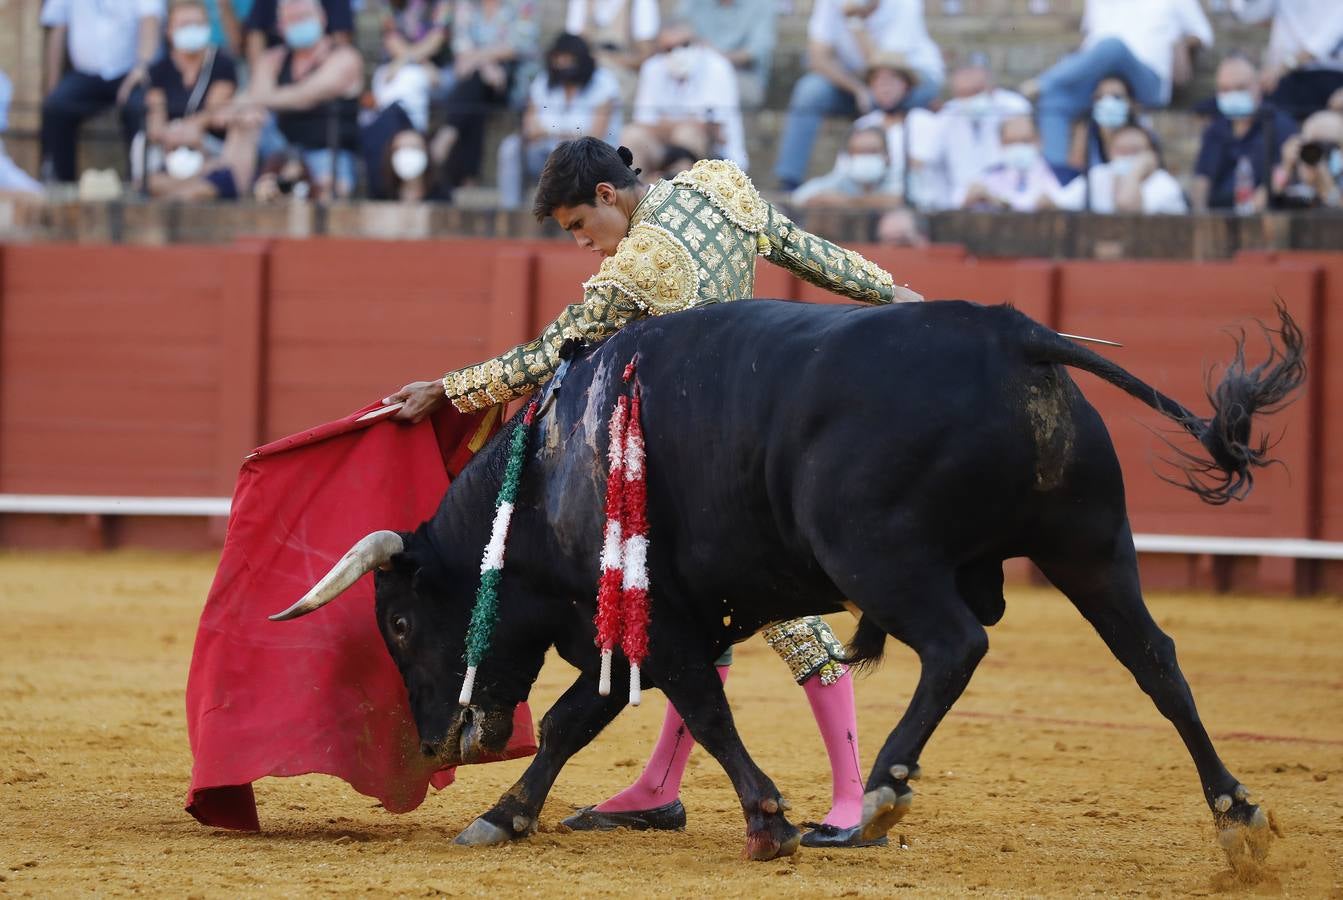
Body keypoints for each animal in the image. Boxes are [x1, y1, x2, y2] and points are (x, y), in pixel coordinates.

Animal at [275, 300, 1300, 865]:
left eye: (399, 624)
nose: (435, 743)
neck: (547, 469)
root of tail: (1011, 334)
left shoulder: (655, 615)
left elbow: (693, 705)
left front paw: (768, 819)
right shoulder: (635, 621)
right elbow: (577, 719)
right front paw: (505, 815)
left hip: (881, 556)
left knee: (955, 646)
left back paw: (875, 800)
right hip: (1088, 546)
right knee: (1155, 661)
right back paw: (1236, 814)